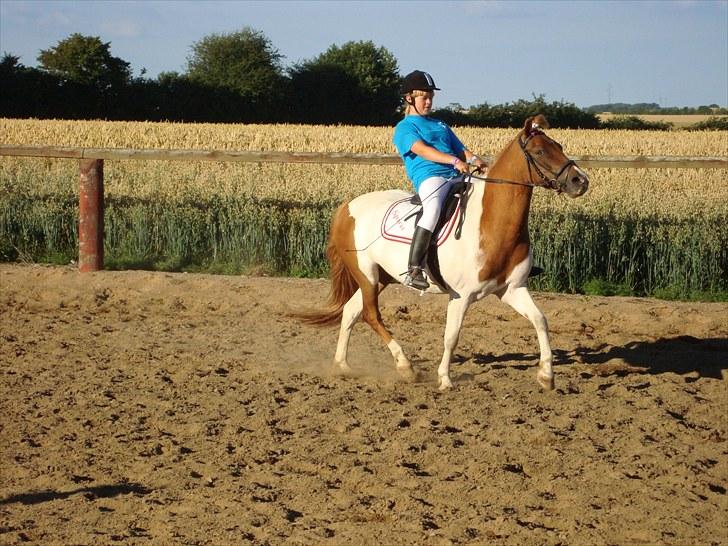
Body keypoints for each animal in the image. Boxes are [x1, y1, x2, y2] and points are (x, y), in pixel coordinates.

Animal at [298, 112, 588, 388]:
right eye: (539, 152)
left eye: (559, 146)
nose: (580, 181)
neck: (490, 223)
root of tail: (347, 206)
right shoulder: (461, 295)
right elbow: (452, 336)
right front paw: (445, 379)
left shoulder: (512, 289)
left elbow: (541, 320)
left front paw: (547, 376)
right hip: (366, 273)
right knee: (371, 315)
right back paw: (405, 366)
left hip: (381, 277)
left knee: (351, 310)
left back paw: (343, 366)